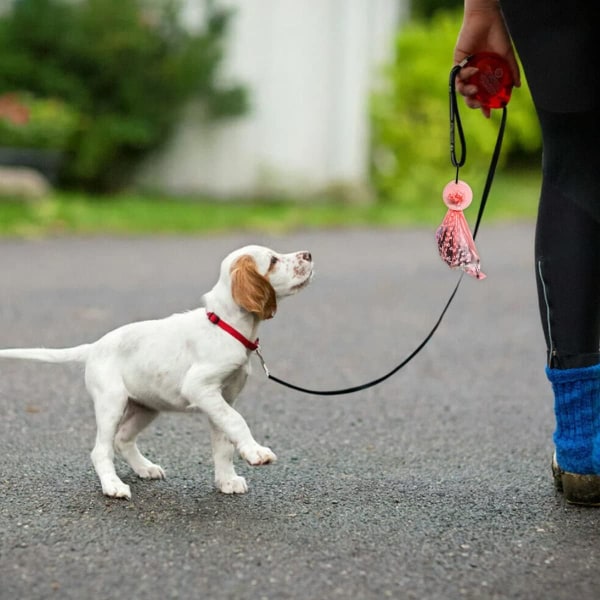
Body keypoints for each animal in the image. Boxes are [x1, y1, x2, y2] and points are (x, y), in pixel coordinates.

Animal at [0, 246, 312, 500]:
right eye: (273, 260)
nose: (308, 254)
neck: (225, 326)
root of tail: (94, 347)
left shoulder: (222, 399)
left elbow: (223, 442)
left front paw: (227, 481)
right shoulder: (200, 387)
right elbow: (237, 421)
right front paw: (256, 452)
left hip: (146, 406)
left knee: (123, 438)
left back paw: (145, 468)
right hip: (112, 402)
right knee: (101, 449)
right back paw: (113, 486)